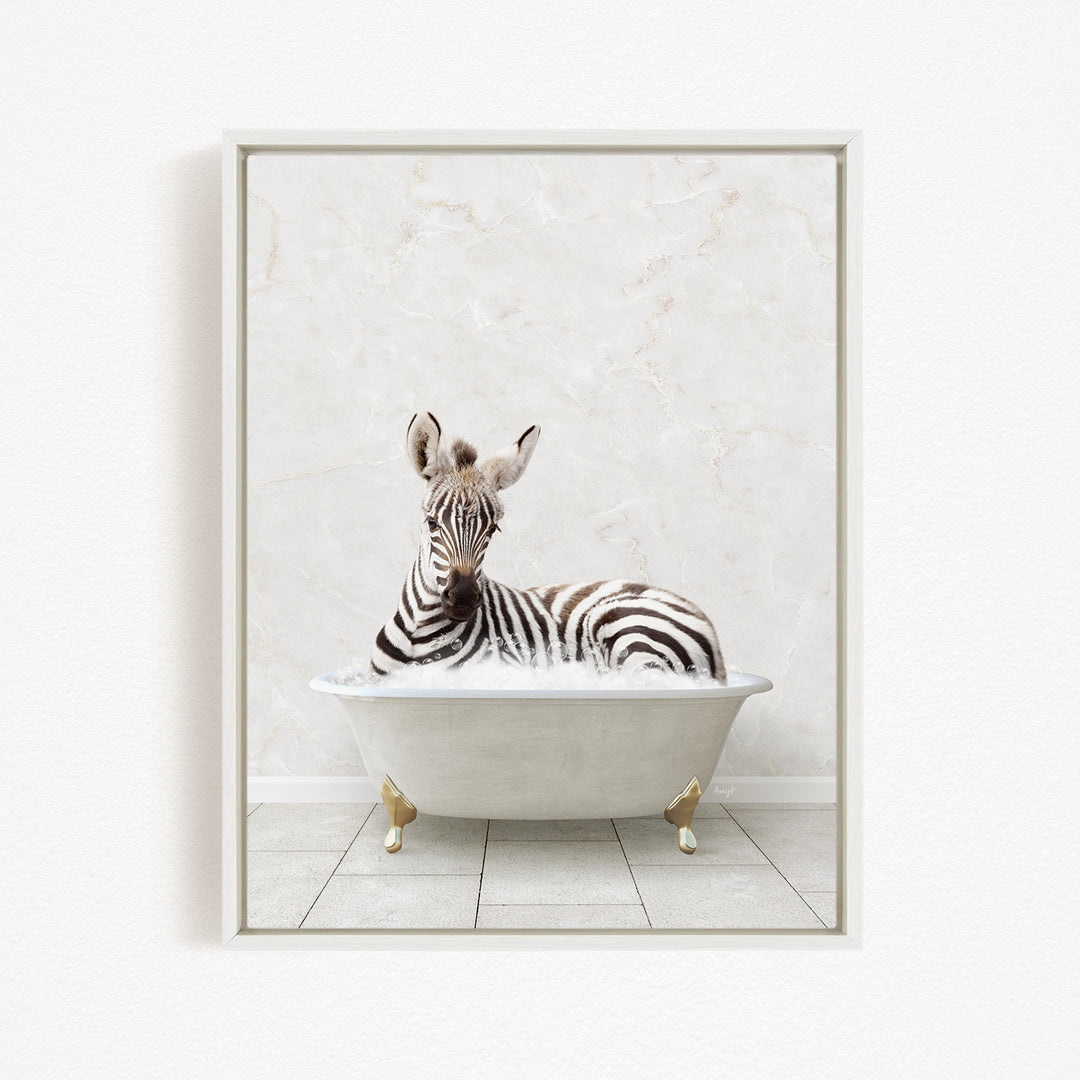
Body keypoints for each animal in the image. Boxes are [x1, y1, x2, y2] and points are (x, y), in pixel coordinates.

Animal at [370, 412, 726, 682]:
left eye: (493, 530)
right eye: (432, 523)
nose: (463, 598)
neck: (418, 633)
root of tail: (707, 625)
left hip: (627, 630)